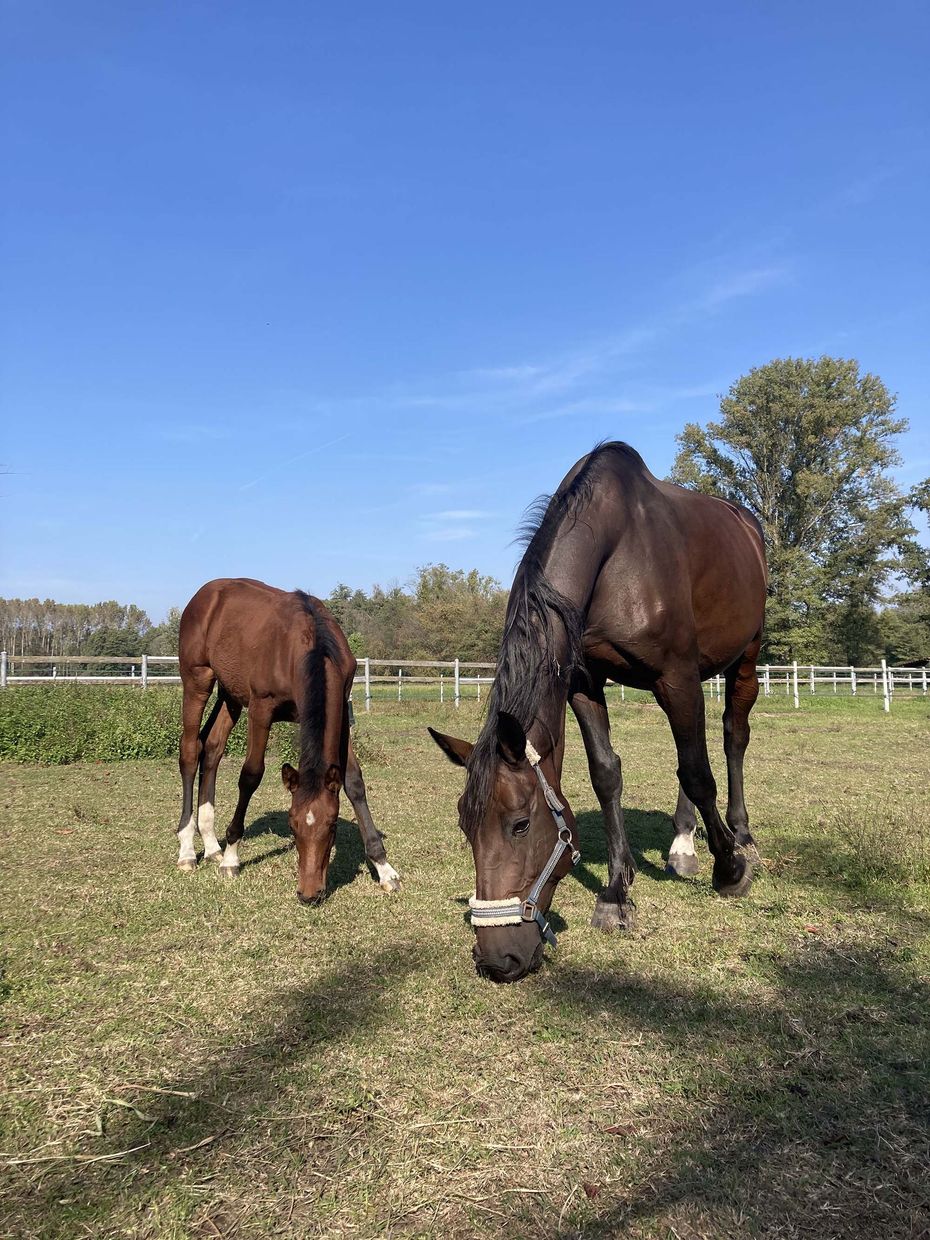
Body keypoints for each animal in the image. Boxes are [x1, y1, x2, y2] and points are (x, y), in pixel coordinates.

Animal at [174, 578, 400, 903]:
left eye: (332, 825)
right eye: (292, 825)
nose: (309, 894)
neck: (311, 646)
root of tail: (204, 595)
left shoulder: (341, 714)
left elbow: (354, 782)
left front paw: (383, 868)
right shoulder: (260, 709)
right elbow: (250, 776)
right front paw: (232, 857)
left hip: (230, 694)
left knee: (212, 748)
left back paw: (212, 844)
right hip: (197, 680)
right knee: (191, 750)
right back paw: (188, 849)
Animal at [429, 442, 767, 983]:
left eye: (520, 825)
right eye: (464, 825)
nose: (498, 960)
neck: (618, 552)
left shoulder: (675, 676)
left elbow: (699, 772)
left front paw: (730, 869)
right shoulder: (586, 683)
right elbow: (608, 773)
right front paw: (616, 892)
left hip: (745, 658)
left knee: (732, 738)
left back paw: (741, 837)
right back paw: (683, 843)